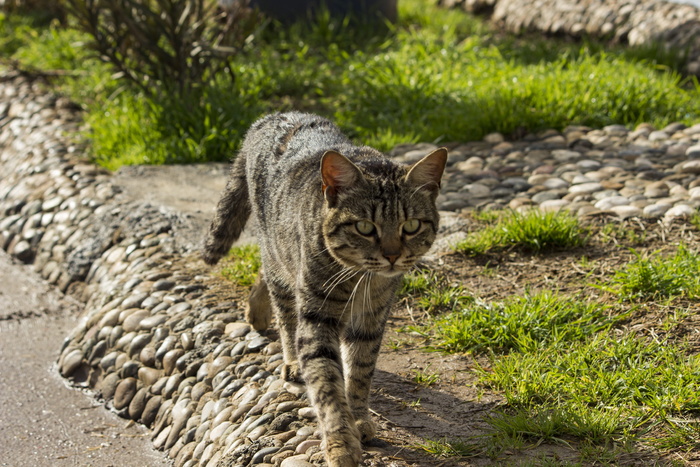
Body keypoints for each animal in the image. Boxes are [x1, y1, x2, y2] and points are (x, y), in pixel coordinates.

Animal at [202, 111, 446, 466]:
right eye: (365, 227)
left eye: (411, 225)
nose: (391, 255)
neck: (360, 278)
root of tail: (271, 116)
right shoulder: (317, 316)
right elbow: (326, 383)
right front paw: (341, 443)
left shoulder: (372, 318)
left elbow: (360, 370)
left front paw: (358, 418)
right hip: (280, 256)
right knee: (283, 305)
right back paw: (288, 356)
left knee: (268, 276)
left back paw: (256, 311)